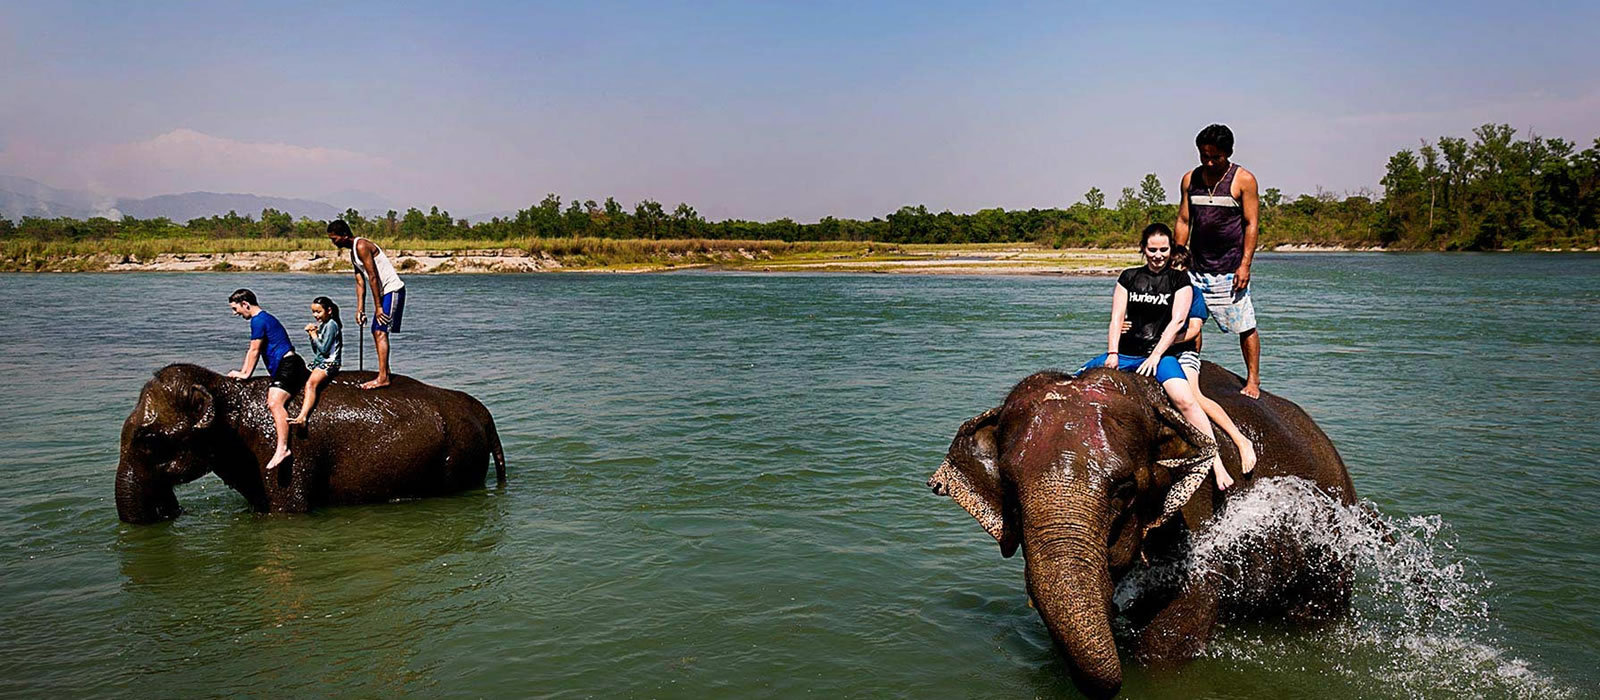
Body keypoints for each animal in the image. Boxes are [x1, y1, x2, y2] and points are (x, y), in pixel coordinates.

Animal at [116, 364, 505, 521]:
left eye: (149, 440)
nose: (169, 511)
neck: (229, 393)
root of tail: (482, 411)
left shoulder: (285, 454)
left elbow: (289, 510)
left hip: (458, 459)